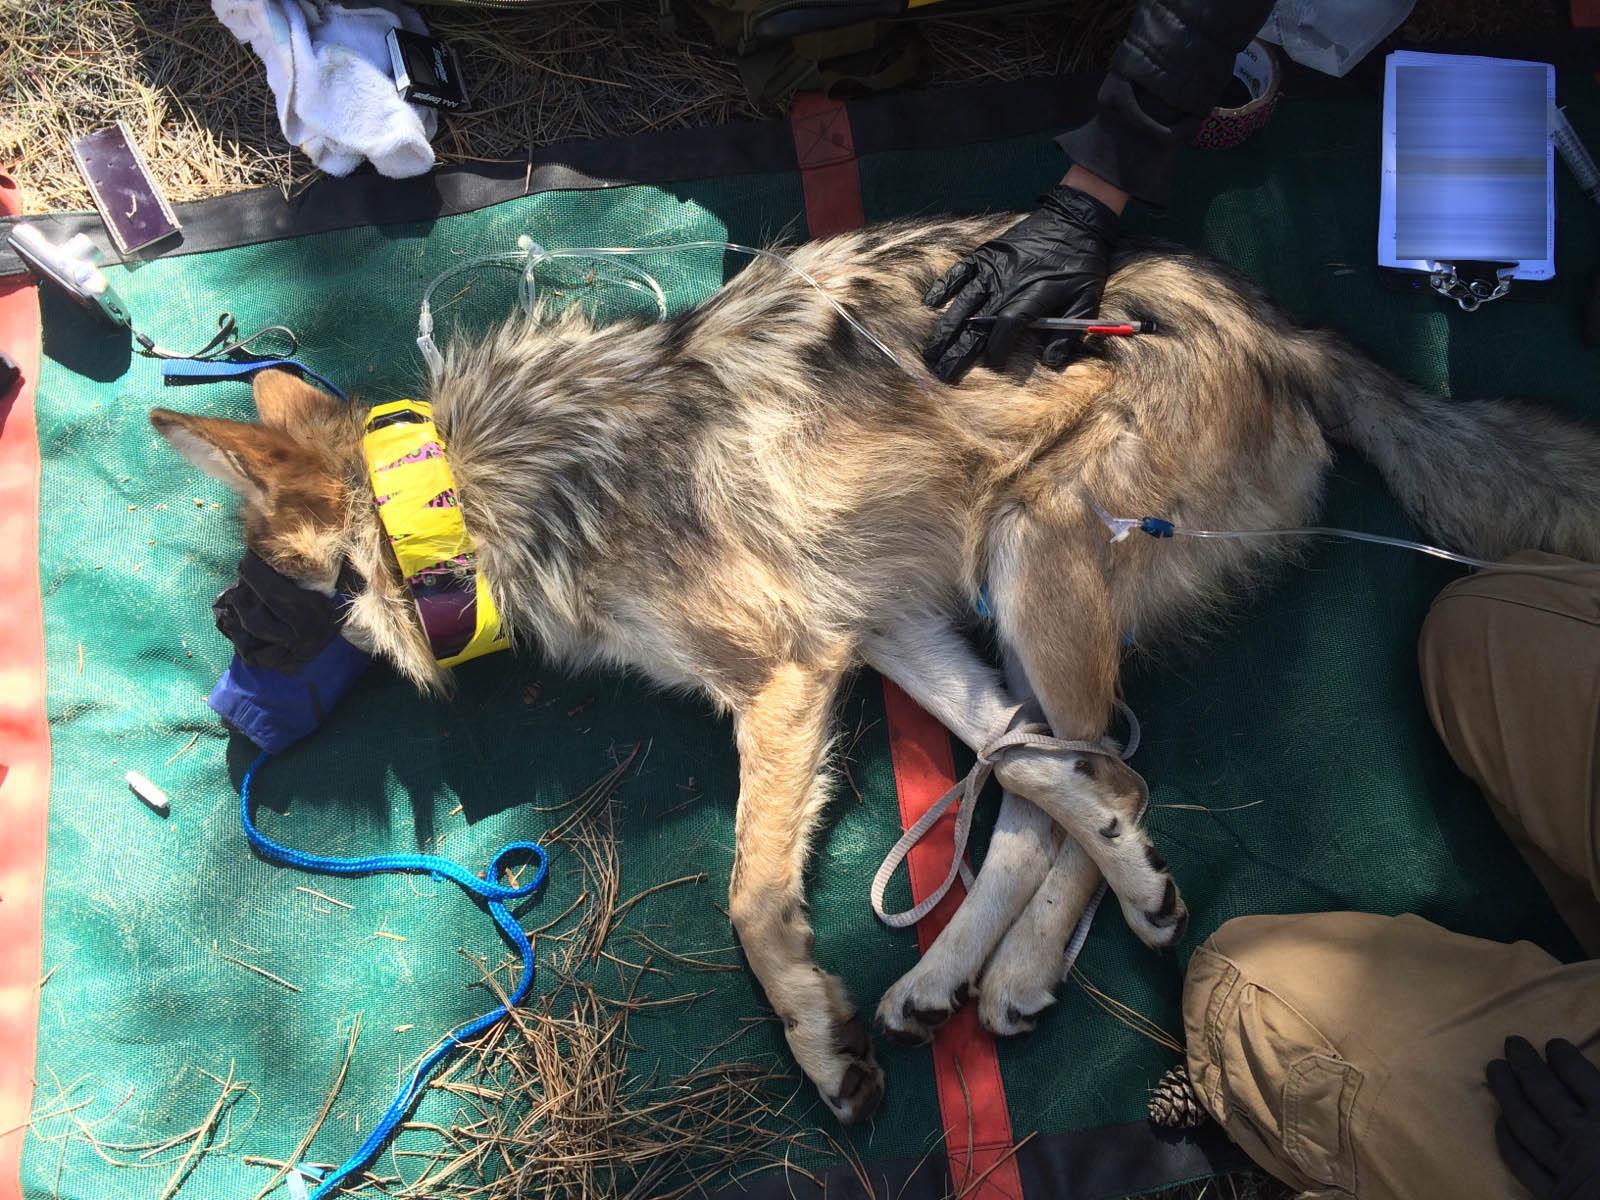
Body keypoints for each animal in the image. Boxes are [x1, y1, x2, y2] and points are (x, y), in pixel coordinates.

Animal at [147, 216, 1600, 1126]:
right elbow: (1031, 792)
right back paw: (963, 976)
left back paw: (1047, 942)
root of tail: (1275, 320)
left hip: (1028, 555)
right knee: (1043, 781)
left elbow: (749, 900)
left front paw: (815, 1038)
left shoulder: (787, 674)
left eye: (252, 581)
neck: (489, 487)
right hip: (961, 612)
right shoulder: (858, 637)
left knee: (1108, 771)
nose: (210, 628)